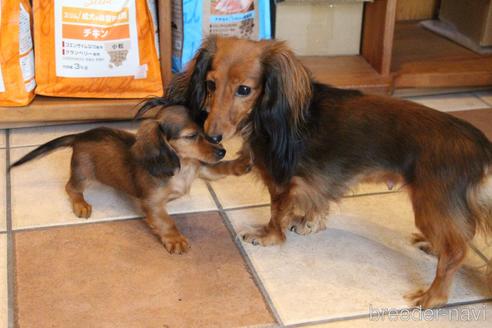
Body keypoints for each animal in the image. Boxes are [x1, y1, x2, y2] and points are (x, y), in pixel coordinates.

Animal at [10, 106, 250, 255]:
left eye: (208, 132)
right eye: (191, 136)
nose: (222, 150)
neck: (183, 167)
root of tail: (80, 135)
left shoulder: (202, 169)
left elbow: (218, 169)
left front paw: (241, 163)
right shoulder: (152, 203)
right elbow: (166, 221)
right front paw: (175, 239)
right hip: (84, 175)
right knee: (70, 187)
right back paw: (81, 204)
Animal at [137, 37, 492, 308]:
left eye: (244, 90)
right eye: (211, 84)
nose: (213, 136)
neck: (272, 112)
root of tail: (480, 147)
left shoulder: (282, 181)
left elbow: (276, 213)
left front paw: (269, 236)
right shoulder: (312, 181)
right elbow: (315, 203)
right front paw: (308, 222)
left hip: (430, 204)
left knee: (457, 252)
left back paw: (434, 296)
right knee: (457, 239)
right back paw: (432, 247)